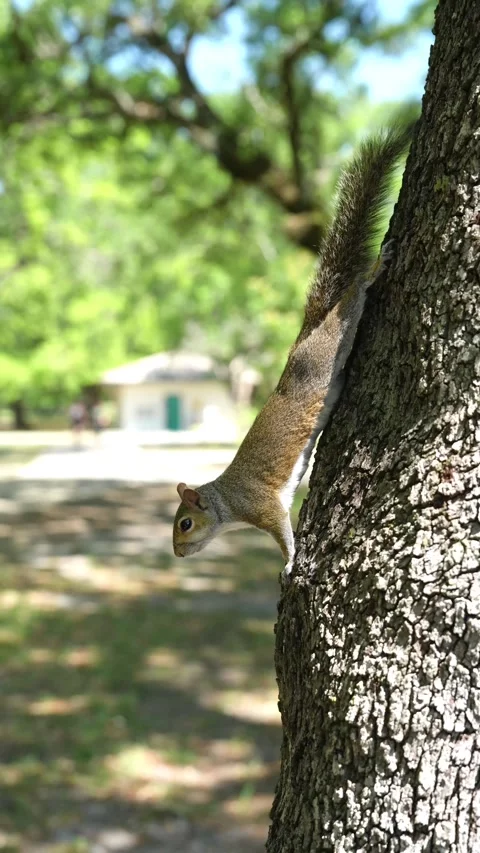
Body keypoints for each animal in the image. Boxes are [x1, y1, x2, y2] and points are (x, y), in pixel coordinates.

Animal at [173, 127, 409, 576]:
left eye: (185, 523)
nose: (176, 553)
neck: (228, 503)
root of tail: (304, 339)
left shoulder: (263, 507)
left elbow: (283, 533)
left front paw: (289, 563)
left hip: (332, 341)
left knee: (353, 298)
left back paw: (373, 271)